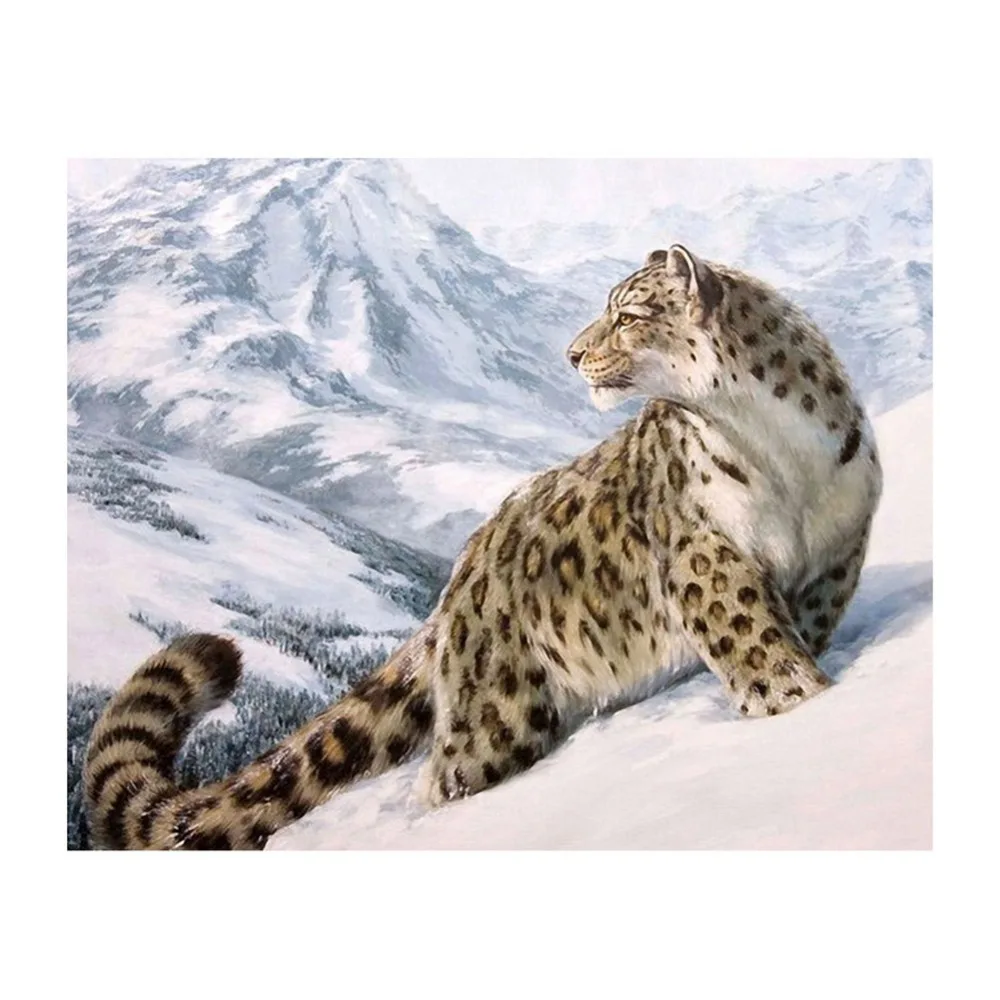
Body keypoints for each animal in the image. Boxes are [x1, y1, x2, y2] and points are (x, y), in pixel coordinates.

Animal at [83, 244, 882, 849]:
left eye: (627, 315)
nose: (572, 354)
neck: (777, 450)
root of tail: (461, 574)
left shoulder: (839, 545)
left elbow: (799, 626)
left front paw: (809, 693)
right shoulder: (705, 555)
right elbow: (754, 641)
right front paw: (796, 703)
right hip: (499, 715)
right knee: (447, 777)